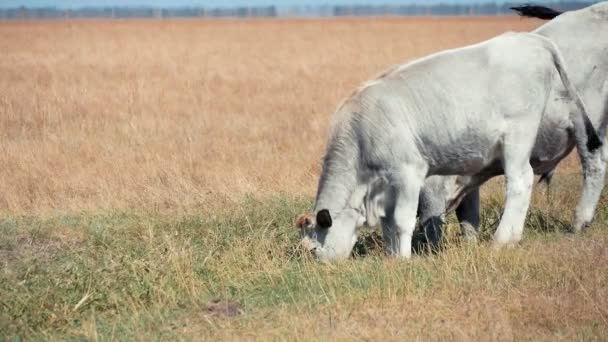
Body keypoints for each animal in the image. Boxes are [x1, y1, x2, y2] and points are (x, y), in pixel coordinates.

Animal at [296, 31, 600, 262]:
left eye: (313, 249)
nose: (317, 267)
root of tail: (532, 40)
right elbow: (389, 225)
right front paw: (392, 256)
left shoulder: (408, 173)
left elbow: (402, 221)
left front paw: (403, 260)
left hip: (518, 136)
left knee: (520, 182)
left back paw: (503, 239)